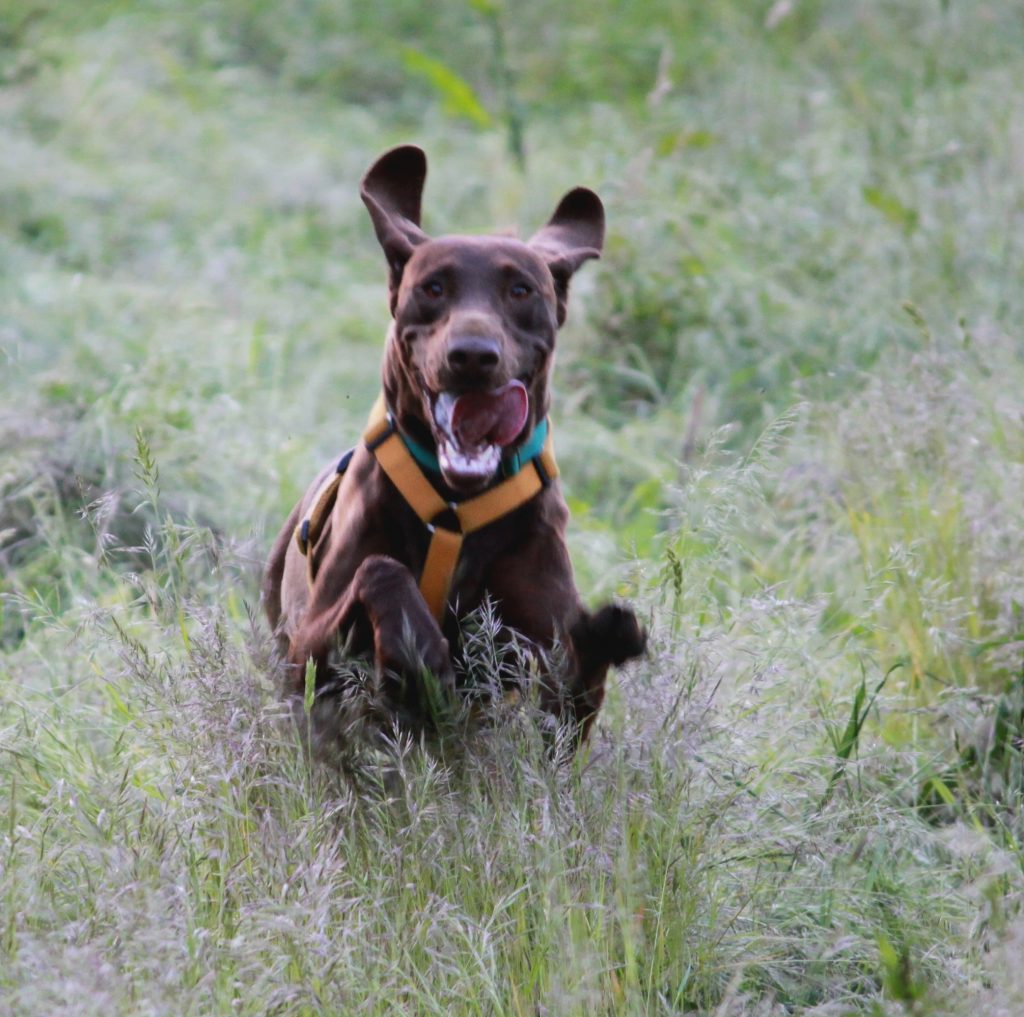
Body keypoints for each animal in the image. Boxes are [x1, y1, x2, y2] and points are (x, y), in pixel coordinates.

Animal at [264, 143, 647, 741]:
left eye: (521, 290)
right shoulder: (303, 651)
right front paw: (418, 656)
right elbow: (381, 571)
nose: (472, 355)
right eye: (433, 287)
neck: (455, 506)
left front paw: (606, 633)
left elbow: (573, 675)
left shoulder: (553, 678)